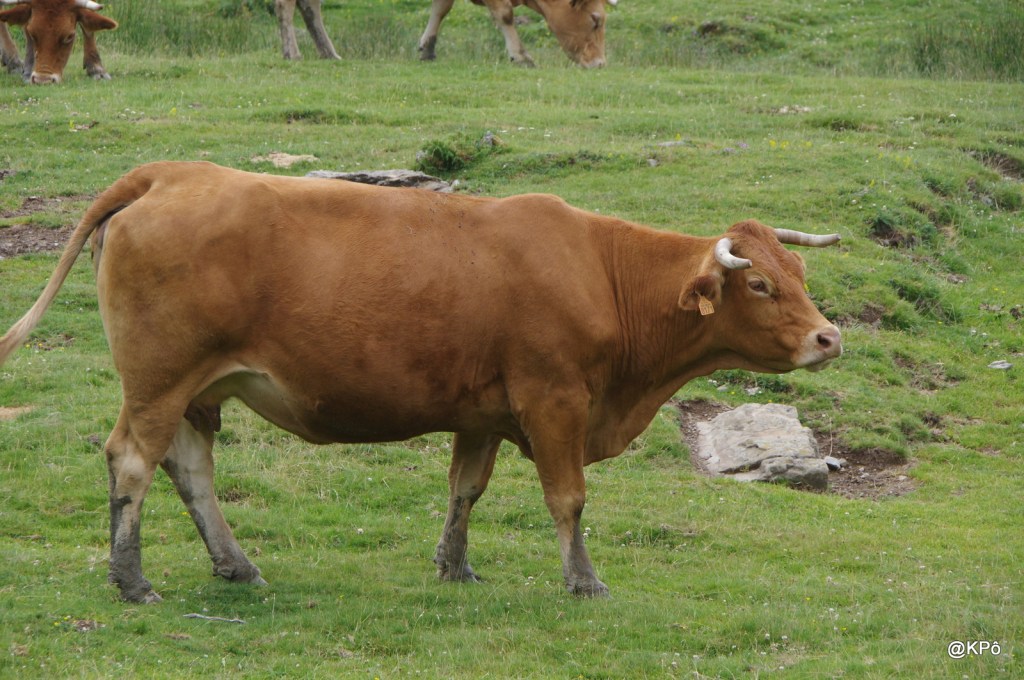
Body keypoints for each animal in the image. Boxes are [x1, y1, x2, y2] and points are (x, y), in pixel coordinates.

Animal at [0, 161, 843, 603]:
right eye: (760, 283)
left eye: (799, 274)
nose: (829, 337)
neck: (601, 271)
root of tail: (173, 171)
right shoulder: (554, 401)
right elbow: (567, 498)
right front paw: (583, 579)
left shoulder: (482, 412)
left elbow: (465, 489)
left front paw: (454, 564)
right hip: (160, 379)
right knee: (132, 462)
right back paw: (131, 577)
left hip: (197, 389)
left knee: (188, 468)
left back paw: (233, 563)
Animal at [420, 0, 617, 67]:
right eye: (595, 20)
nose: (600, 63)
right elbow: (505, 14)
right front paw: (520, 56)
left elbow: (441, 8)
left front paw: (428, 47)